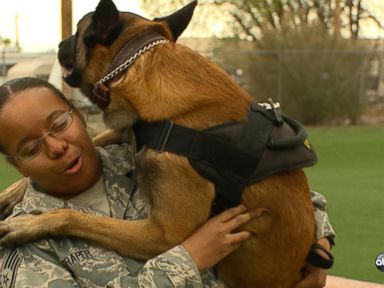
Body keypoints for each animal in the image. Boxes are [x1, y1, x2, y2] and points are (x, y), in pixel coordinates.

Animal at [0, 1, 318, 286]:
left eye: (78, 32)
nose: (59, 43)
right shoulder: (132, 130)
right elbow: (99, 137)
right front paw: (12, 193)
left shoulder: (163, 234)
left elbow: (75, 217)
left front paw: (28, 223)